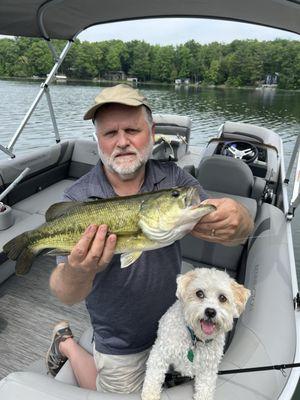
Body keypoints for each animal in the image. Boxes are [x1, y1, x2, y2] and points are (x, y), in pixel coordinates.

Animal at [141, 268, 251, 400]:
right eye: (199, 293)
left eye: (222, 298)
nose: (210, 311)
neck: (196, 338)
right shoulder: (160, 353)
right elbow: (154, 375)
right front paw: (150, 394)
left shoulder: (208, 369)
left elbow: (205, 388)